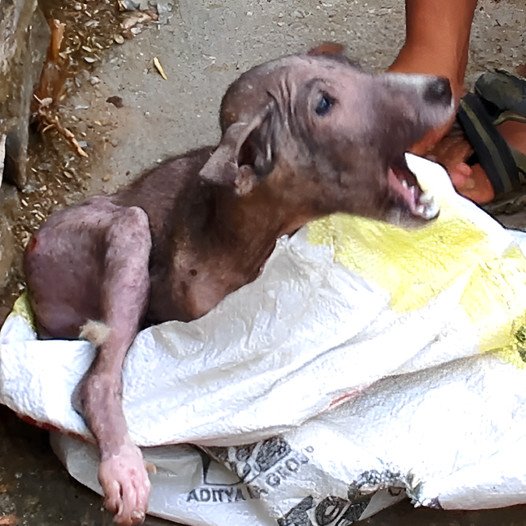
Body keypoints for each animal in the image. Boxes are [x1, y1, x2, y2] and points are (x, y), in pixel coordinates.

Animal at [24, 47, 454, 524]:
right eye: (323, 104)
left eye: (358, 69)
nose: (441, 86)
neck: (247, 236)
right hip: (115, 230)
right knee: (96, 381)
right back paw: (123, 465)